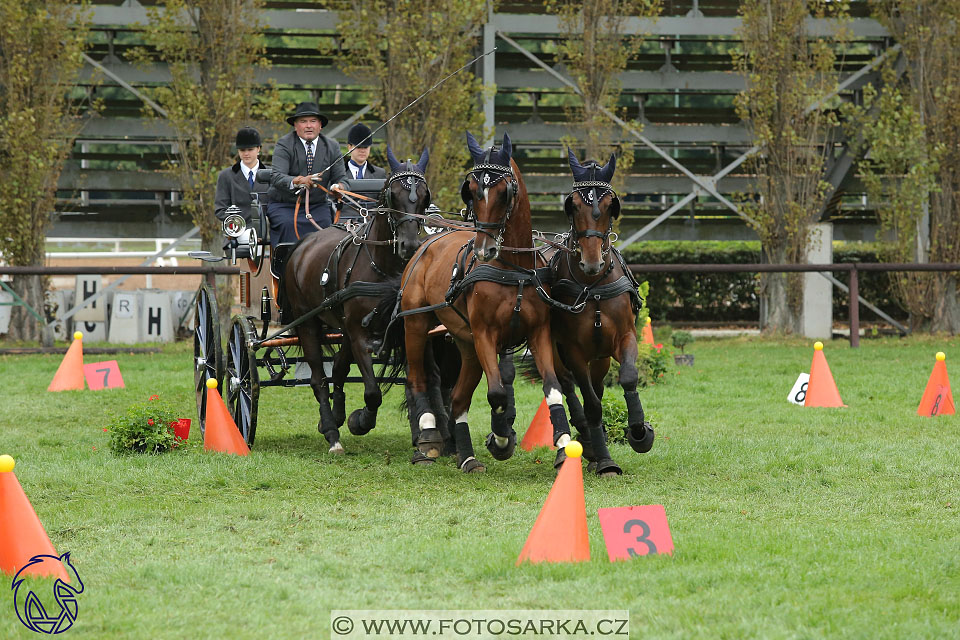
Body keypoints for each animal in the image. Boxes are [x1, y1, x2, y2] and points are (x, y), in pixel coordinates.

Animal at [284, 148, 430, 452]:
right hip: (308, 322)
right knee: (318, 378)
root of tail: (303, 244)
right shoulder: (358, 333)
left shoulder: (399, 327)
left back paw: (334, 416)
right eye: (393, 195)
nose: (409, 245)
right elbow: (372, 391)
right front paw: (360, 421)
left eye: (424, 196)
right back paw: (331, 432)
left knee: (338, 369)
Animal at [388, 131, 572, 470]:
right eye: (471, 191)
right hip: (417, 325)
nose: (484, 249)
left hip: (467, 345)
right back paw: (429, 437)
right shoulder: (486, 334)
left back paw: (467, 456)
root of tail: (426, 244)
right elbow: (497, 392)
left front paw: (564, 446)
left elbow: (552, 388)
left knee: (458, 398)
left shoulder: (538, 332)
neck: (513, 270)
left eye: (504, 192)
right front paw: (500, 440)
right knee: (417, 380)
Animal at [552, 148, 656, 472]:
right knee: (570, 388)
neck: (593, 288)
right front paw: (605, 461)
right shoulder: (573, 351)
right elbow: (592, 403)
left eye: (612, 206)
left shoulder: (625, 337)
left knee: (596, 386)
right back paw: (588, 442)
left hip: (599, 359)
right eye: (572, 205)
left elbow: (629, 377)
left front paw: (640, 432)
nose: (592, 262)